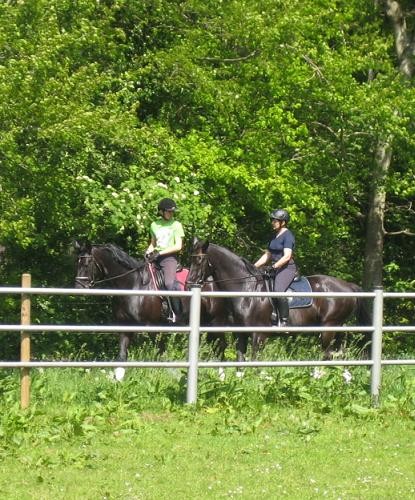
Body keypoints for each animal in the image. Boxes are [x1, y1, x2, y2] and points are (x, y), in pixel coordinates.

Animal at [187, 240, 372, 362]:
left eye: (199, 260)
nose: (189, 283)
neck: (247, 290)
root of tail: (347, 285)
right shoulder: (241, 333)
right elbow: (240, 361)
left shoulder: (259, 335)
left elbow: (254, 362)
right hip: (338, 328)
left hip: (329, 327)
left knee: (327, 355)